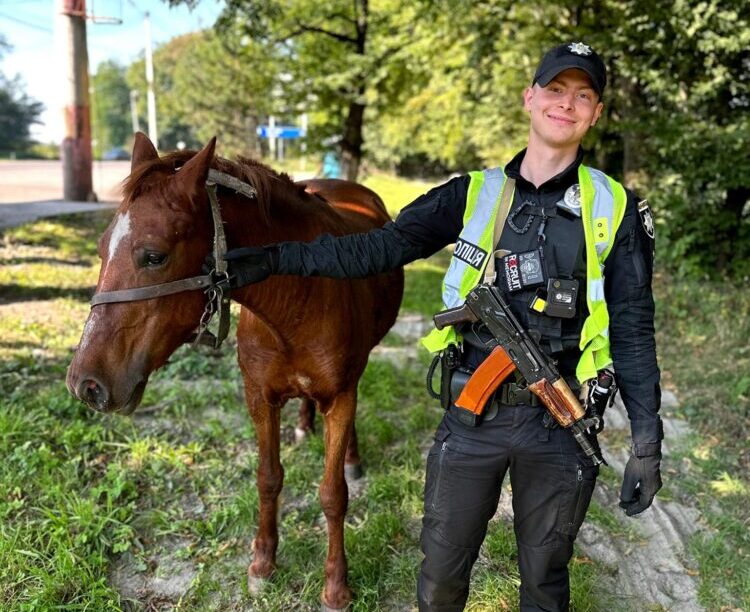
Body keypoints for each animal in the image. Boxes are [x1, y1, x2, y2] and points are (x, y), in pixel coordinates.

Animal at [67, 134, 406, 608]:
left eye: (153, 256)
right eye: (101, 249)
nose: (86, 384)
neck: (295, 302)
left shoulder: (340, 398)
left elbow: (333, 494)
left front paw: (336, 585)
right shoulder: (258, 396)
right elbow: (268, 479)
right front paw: (263, 564)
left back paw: (352, 456)